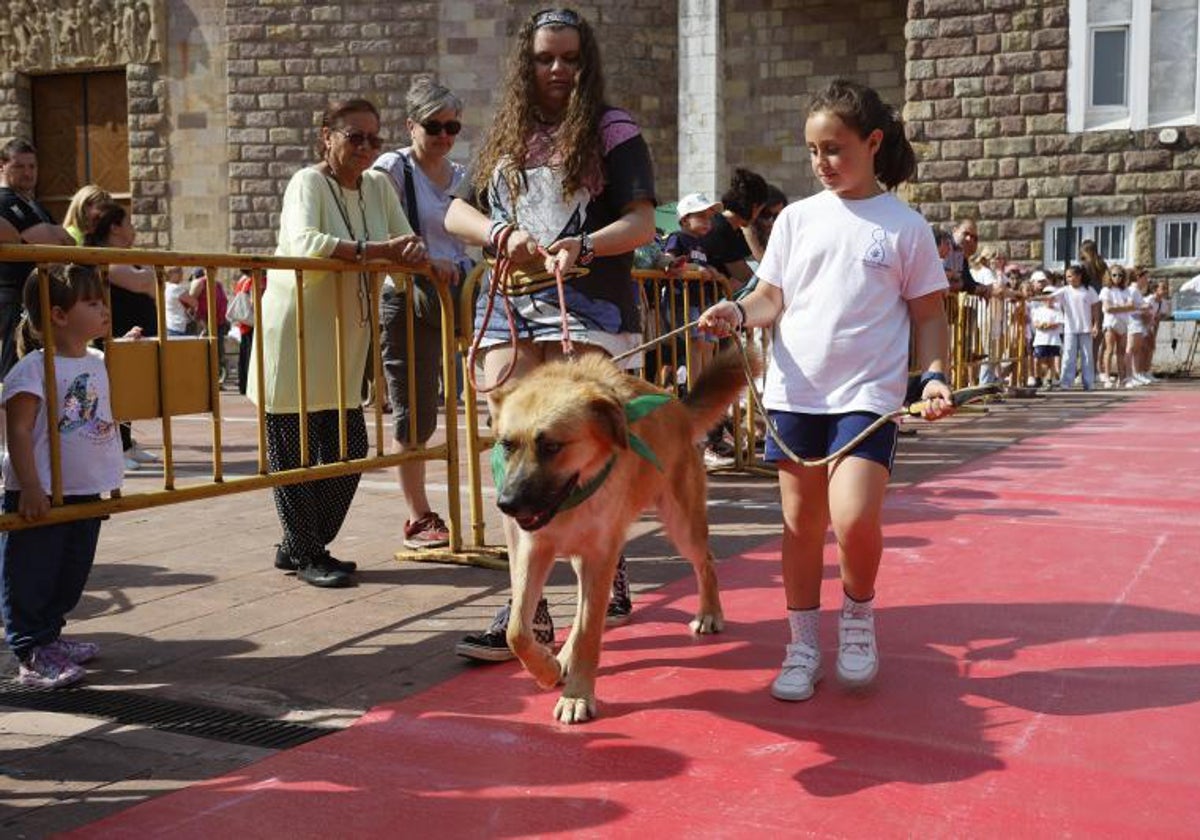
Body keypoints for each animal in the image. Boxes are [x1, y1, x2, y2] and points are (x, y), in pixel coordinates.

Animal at [489, 345, 758, 724]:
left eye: (552, 447)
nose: (507, 504)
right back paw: (564, 657)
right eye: (507, 445)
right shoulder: (535, 550)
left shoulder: (600, 556)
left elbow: (590, 631)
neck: (578, 492)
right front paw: (546, 669)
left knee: (706, 561)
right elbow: (517, 631)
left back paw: (709, 612)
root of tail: (678, 406)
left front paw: (577, 695)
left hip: (681, 528)